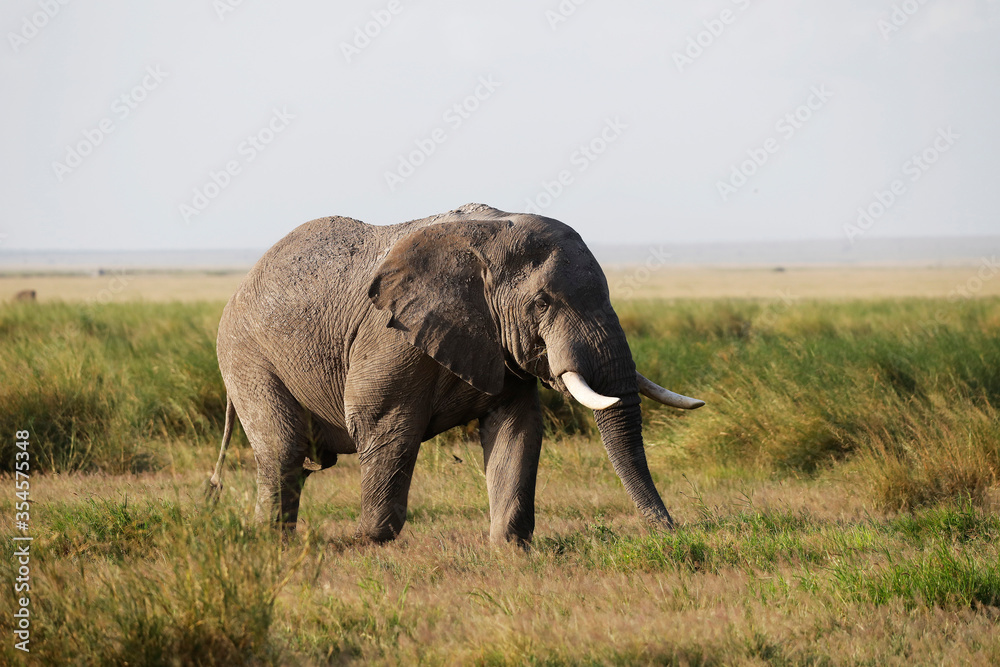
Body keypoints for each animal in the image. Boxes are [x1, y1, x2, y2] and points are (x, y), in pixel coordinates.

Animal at [209, 203, 704, 545]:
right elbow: (384, 425)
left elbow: (518, 429)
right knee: (284, 451)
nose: (670, 530)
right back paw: (272, 543)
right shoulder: (390, 336)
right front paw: (367, 542)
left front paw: (508, 548)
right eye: (542, 303)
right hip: (246, 356)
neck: (487, 240)